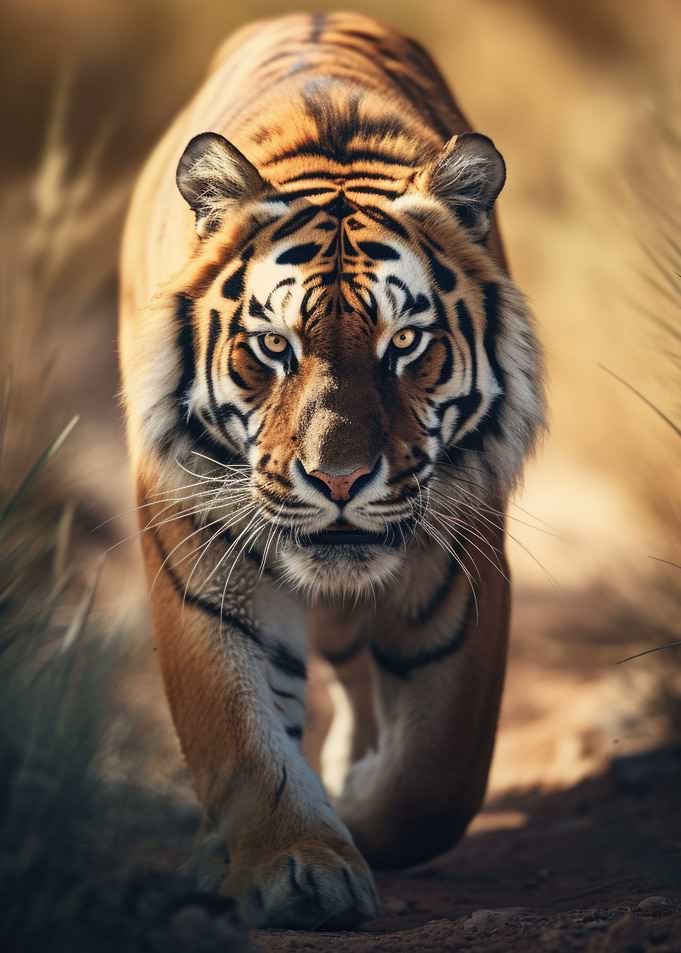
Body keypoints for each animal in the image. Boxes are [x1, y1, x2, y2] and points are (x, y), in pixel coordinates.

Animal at [119, 11, 546, 931]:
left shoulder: (461, 556)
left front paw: (359, 815)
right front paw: (300, 867)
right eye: (273, 346)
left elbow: (437, 777)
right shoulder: (200, 549)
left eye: (406, 343)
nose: (339, 481)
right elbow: (241, 733)